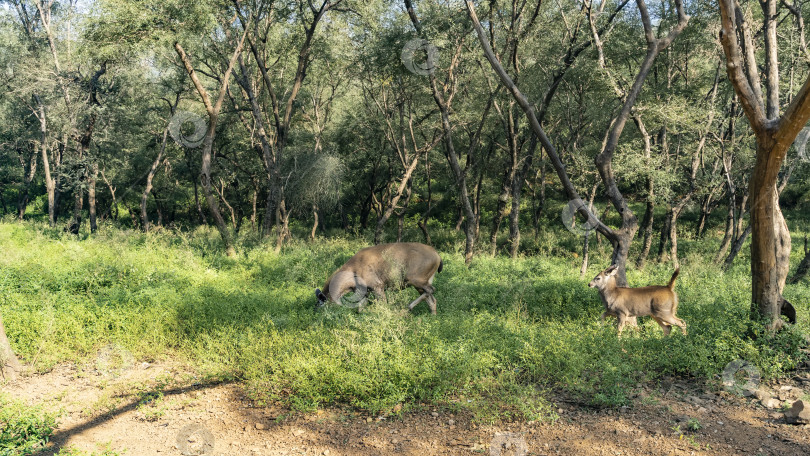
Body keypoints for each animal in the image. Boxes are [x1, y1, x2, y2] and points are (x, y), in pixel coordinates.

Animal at [314, 242, 442, 314]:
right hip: (422, 282)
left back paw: (409, 306)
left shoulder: (377, 286)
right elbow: (360, 309)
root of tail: (438, 256)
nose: (316, 312)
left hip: (415, 279)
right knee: (432, 300)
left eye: (321, 302)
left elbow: (383, 305)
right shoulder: (365, 291)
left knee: (431, 290)